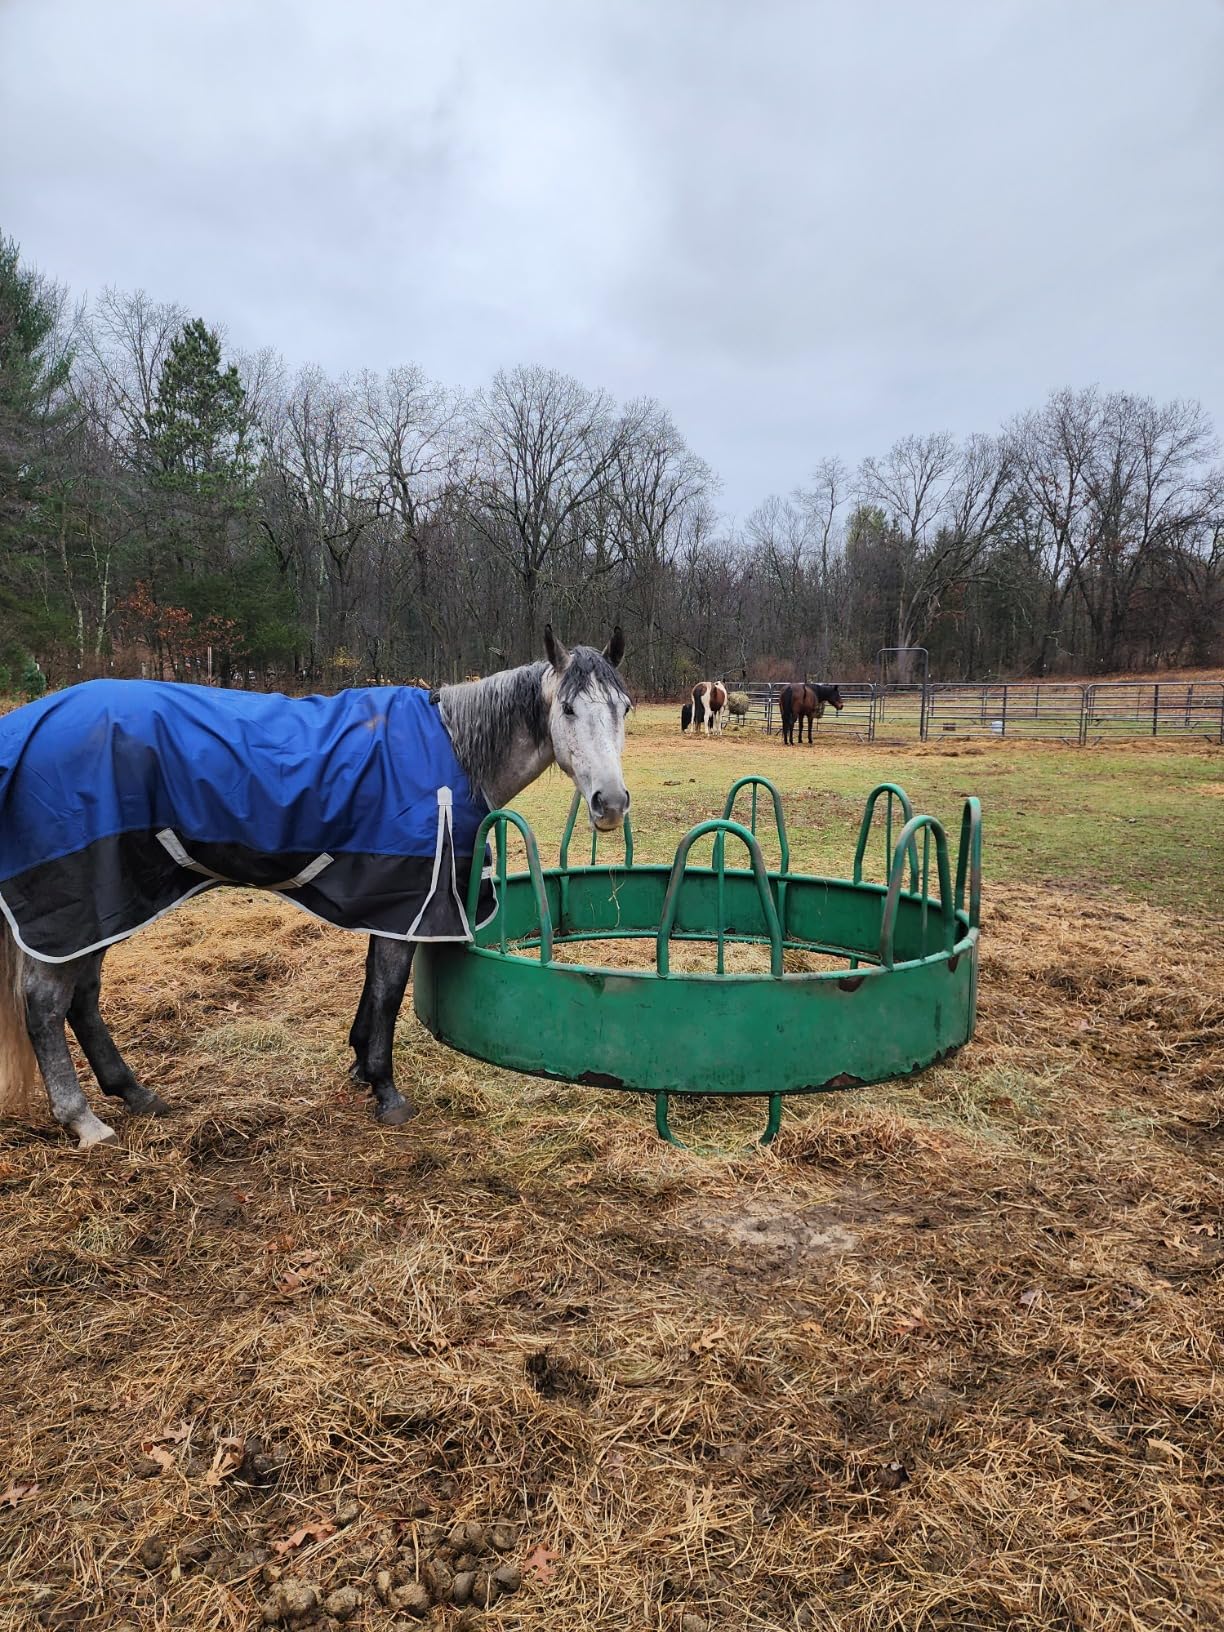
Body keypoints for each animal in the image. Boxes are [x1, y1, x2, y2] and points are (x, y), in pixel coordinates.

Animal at [0, 627, 630, 1149]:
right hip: (77, 904)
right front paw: (386, 1091)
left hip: (109, 907)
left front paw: (360, 1068)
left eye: (622, 708)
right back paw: (83, 1120)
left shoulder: (387, 904)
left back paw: (134, 1093)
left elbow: (373, 987)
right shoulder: (407, 903)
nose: (611, 804)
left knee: (82, 998)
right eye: (567, 707)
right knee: (46, 1003)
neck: (455, 751)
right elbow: (388, 990)